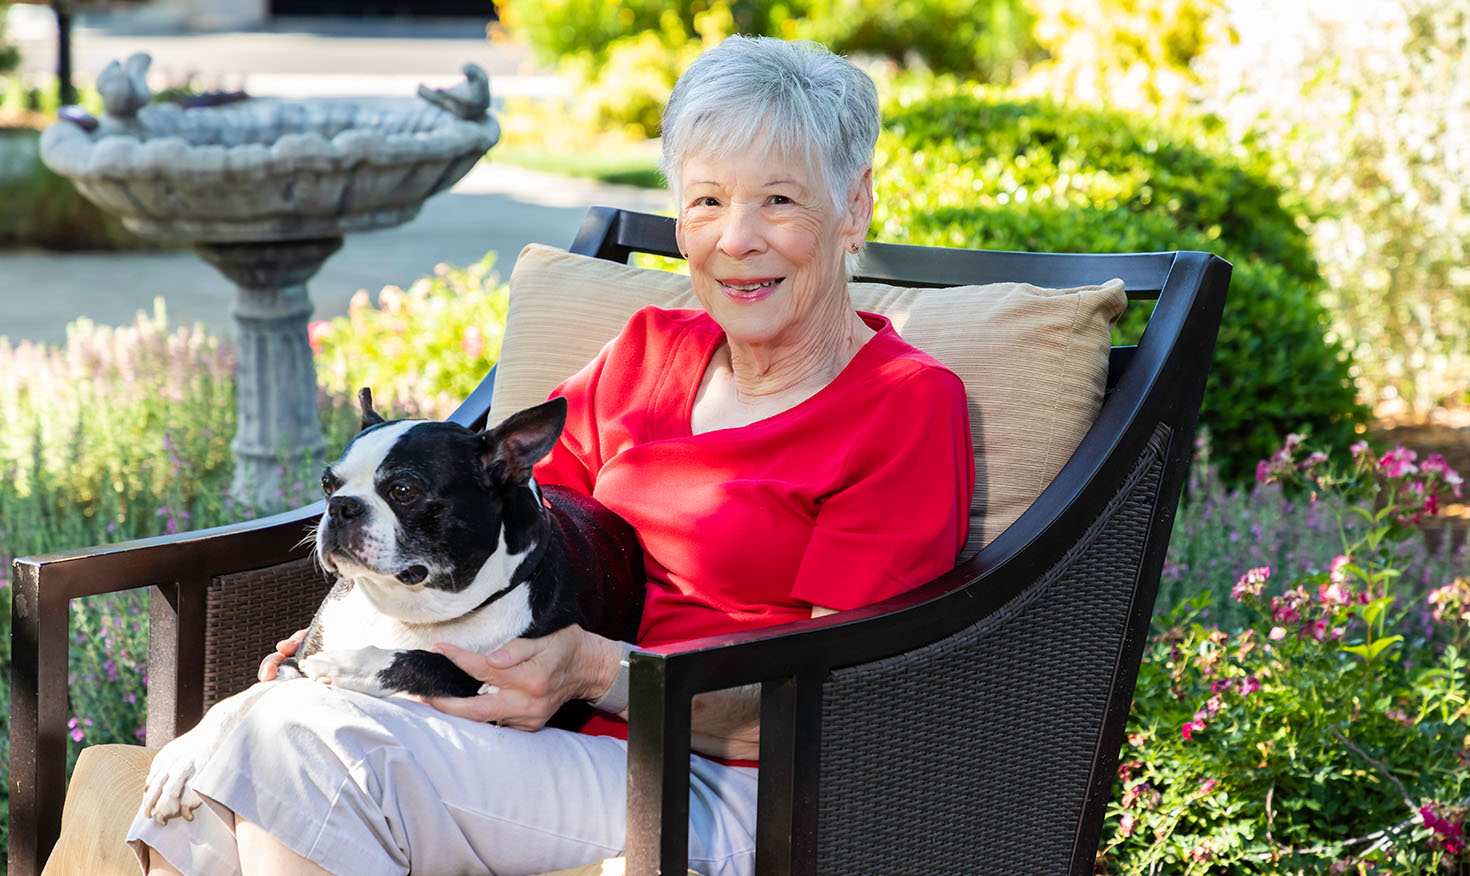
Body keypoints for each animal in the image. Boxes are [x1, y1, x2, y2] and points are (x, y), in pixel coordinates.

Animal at [141, 390, 643, 823]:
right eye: (327, 483)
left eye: (403, 491)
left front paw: (350, 666)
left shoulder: (503, 683)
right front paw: (184, 758)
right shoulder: (292, 666)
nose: (341, 506)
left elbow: (428, 661)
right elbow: (238, 701)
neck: (406, 607)